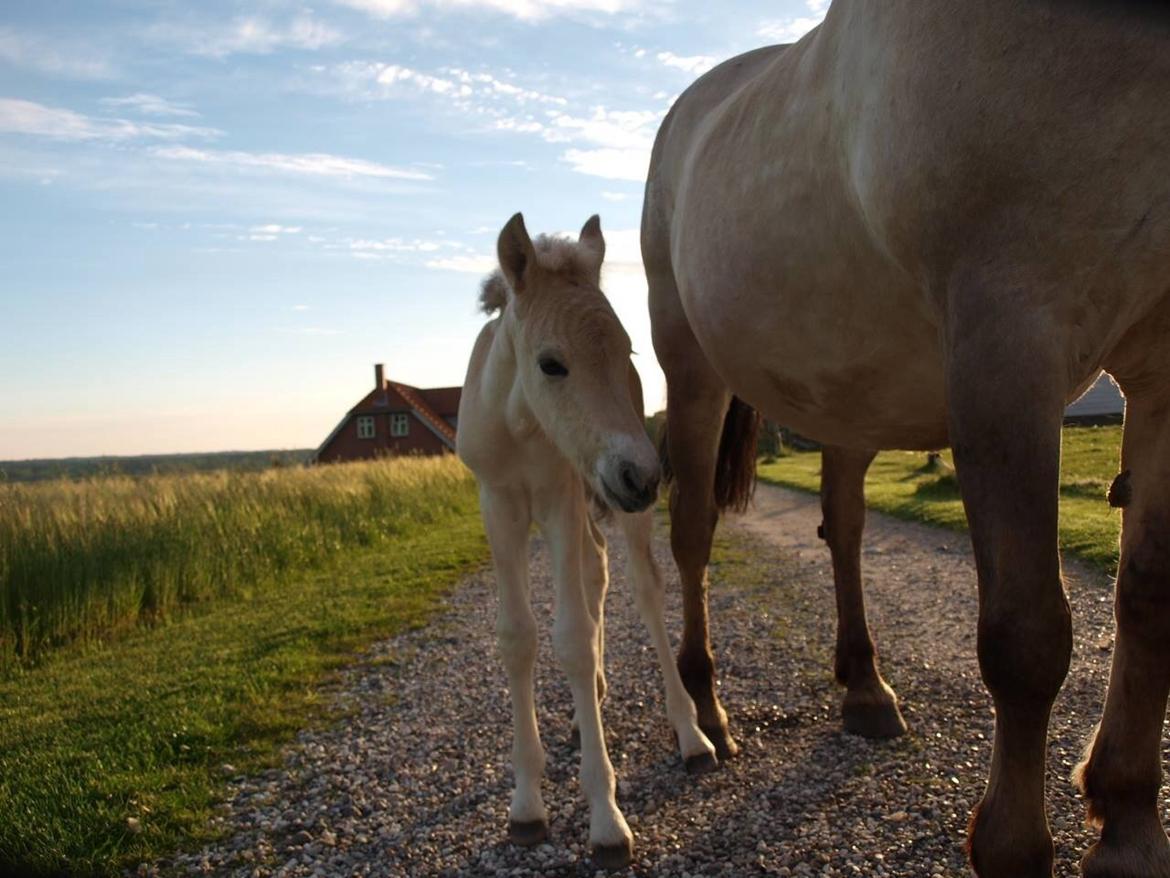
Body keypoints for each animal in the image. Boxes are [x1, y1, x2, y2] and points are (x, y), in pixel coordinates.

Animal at [453, 215, 711, 875]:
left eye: (626, 351)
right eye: (551, 363)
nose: (641, 476)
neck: (520, 425)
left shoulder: (560, 498)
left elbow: (571, 636)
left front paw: (606, 819)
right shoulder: (498, 504)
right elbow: (518, 637)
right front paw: (526, 806)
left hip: (608, 502)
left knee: (641, 592)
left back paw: (691, 734)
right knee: (596, 575)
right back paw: (586, 706)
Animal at [645, 3, 1170, 875]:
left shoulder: (1165, 364)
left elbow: (1148, 597)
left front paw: (1128, 821)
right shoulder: (1004, 343)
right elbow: (1026, 636)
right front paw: (1013, 845)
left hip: (849, 386)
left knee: (844, 525)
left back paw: (864, 685)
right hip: (691, 370)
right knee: (692, 535)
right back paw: (704, 706)